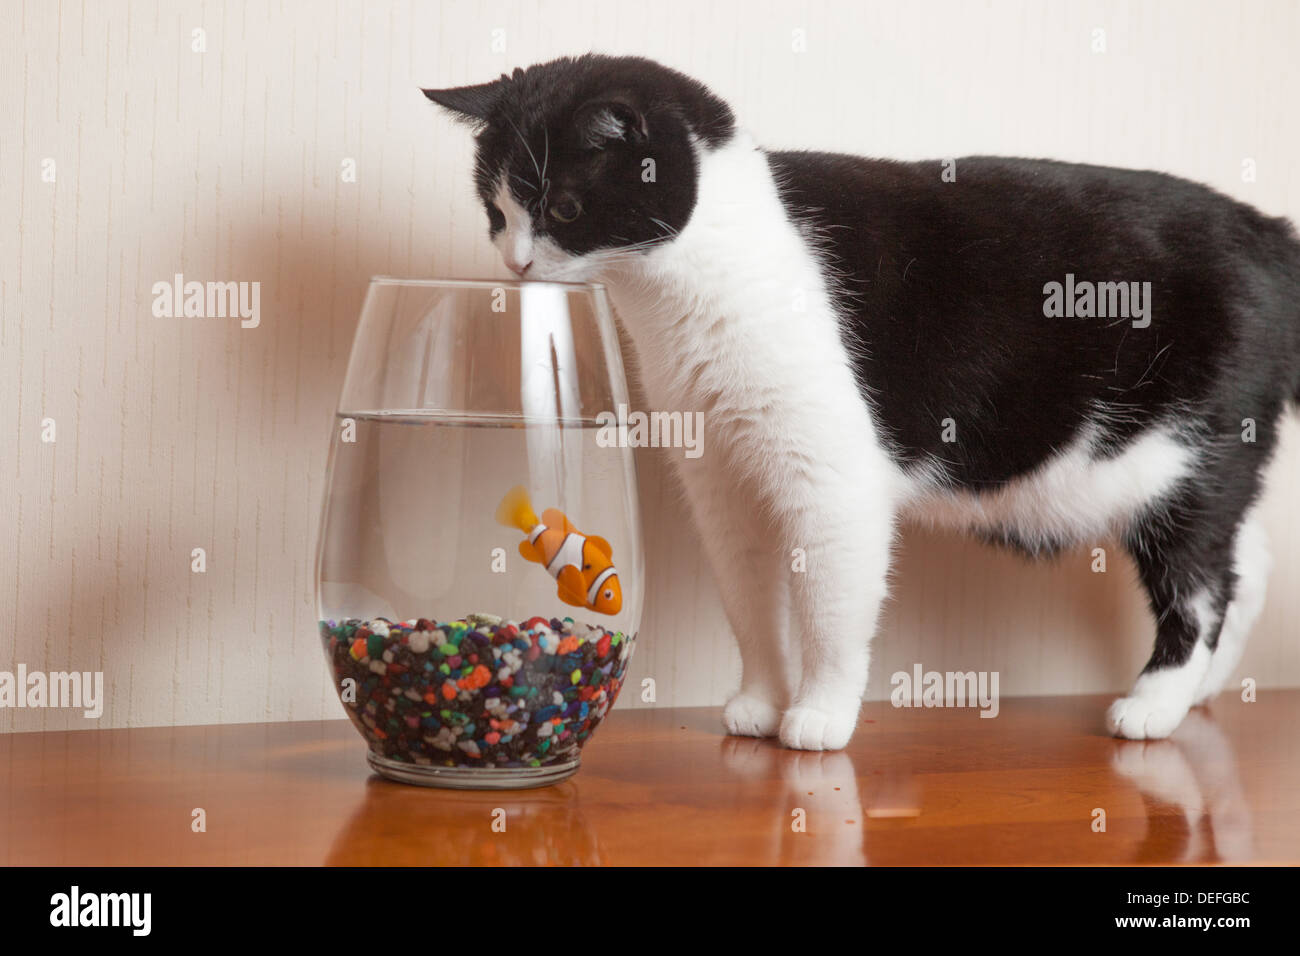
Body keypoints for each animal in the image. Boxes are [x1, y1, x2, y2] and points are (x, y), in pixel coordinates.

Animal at [421, 55, 1294, 749]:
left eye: (564, 208)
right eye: (496, 212)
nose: (516, 263)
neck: (694, 280)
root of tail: (1264, 229)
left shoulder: (831, 481)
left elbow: (829, 608)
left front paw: (819, 716)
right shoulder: (719, 481)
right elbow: (749, 599)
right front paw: (759, 702)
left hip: (1181, 456)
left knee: (1202, 583)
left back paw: (1155, 704)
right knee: (1246, 560)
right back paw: (1206, 693)